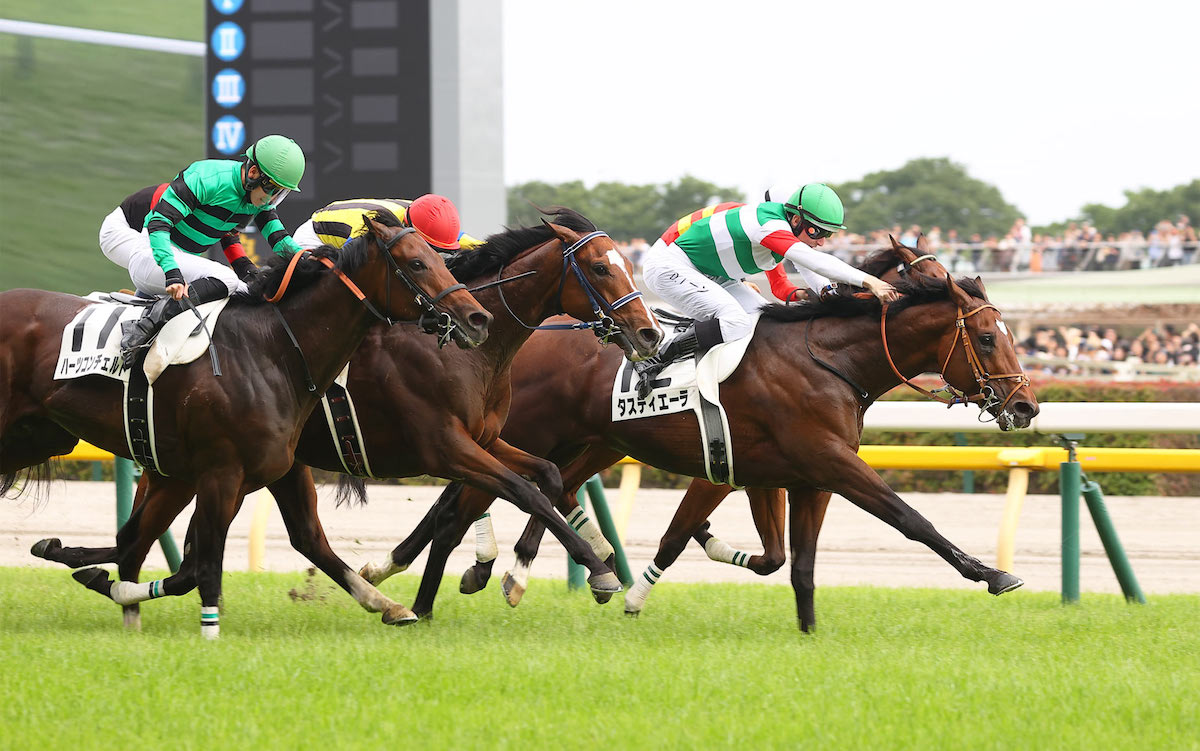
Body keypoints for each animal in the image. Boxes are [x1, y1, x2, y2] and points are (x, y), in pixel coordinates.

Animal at [30, 205, 667, 619]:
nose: (649, 333)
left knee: (145, 537)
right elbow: (517, 492)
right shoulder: (443, 444)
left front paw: (490, 574)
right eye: (604, 267)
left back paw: (79, 561)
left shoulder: (484, 438)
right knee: (147, 537)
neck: (468, 352)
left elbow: (543, 479)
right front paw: (581, 571)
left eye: (623, 262)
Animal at [360, 245, 1036, 623]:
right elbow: (908, 518)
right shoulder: (828, 463)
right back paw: (443, 584)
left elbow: (789, 562)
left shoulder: (789, 476)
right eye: (985, 338)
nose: (1025, 405)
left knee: (539, 492)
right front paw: (991, 573)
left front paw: (806, 629)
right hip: (522, 435)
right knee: (464, 504)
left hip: (591, 442)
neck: (827, 360)